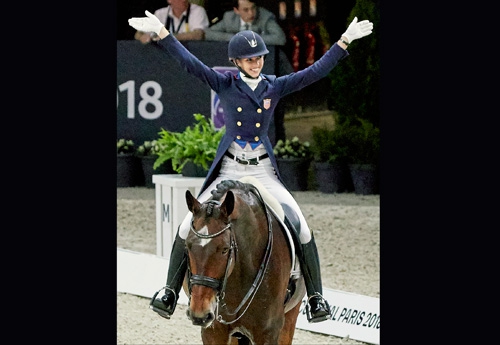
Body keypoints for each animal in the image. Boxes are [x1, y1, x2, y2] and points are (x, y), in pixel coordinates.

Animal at [184, 176, 306, 342]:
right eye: (187, 246)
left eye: (225, 249)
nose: (199, 314)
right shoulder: (214, 331)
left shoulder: (269, 332)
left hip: (290, 318)